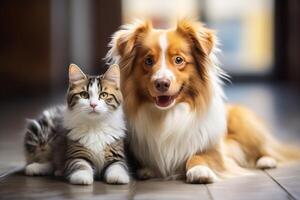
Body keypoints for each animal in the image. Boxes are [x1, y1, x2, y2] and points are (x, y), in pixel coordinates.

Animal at [105, 19, 300, 184]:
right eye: (148, 61)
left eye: (179, 60)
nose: (162, 83)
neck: (169, 114)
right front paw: (147, 169)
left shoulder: (216, 151)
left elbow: (198, 156)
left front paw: (199, 171)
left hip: (244, 123)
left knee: (267, 149)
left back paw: (266, 161)